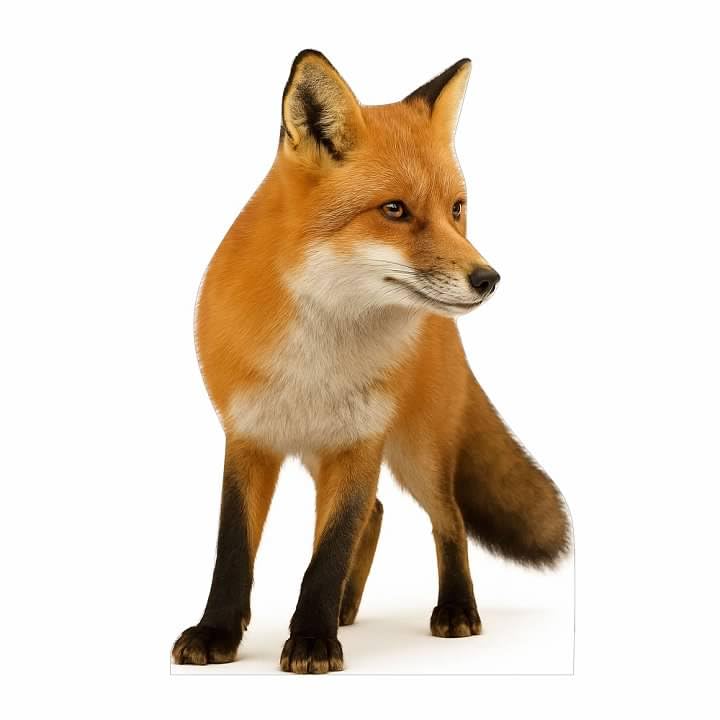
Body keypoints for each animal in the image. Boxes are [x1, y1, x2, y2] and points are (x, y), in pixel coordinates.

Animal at [172, 50, 571, 674]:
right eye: (394, 210)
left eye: (457, 209)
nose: (488, 279)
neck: (316, 358)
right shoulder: (248, 436)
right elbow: (233, 549)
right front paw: (217, 632)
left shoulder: (360, 441)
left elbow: (330, 550)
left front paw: (311, 639)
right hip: (329, 454)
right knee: (379, 513)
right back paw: (345, 608)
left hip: (416, 451)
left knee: (448, 518)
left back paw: (454, 608)